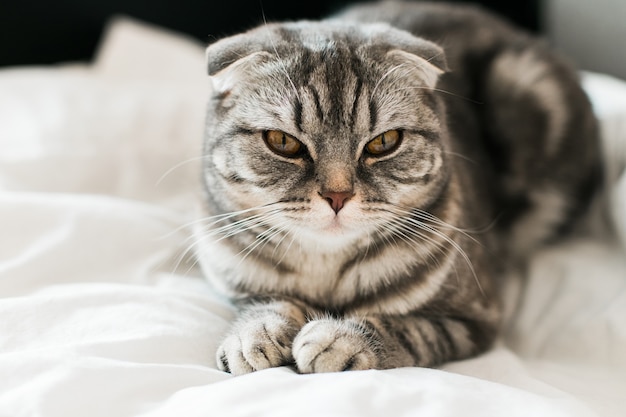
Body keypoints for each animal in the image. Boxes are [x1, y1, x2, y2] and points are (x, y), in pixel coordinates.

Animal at [196, 0, 600, 374]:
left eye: (384, 142)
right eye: (282, 142)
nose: (337, 195)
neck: (326, 273)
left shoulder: (475, 318)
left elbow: (409, 329)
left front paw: (338, 339)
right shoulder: (237, 282)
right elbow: (265, 303)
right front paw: (253, 336)